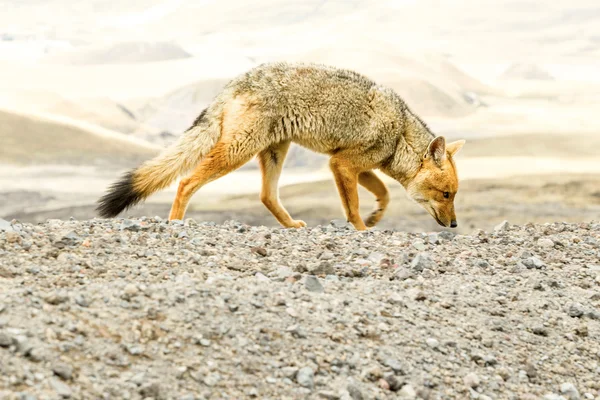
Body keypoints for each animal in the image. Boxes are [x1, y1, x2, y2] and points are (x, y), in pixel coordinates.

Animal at [96, 62, 466, 231]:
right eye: (447, 194)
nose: (454, 226)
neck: (400, 131)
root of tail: (234, 82)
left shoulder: (351, 165)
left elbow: (385, 194)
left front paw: (375, 217)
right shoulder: (342, 164)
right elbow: (354, 207)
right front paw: (362, 229)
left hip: (275, 151)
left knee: (266, 195)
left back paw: (290, 226)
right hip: (238, 152)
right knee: (186, 181)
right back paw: (176, 223)